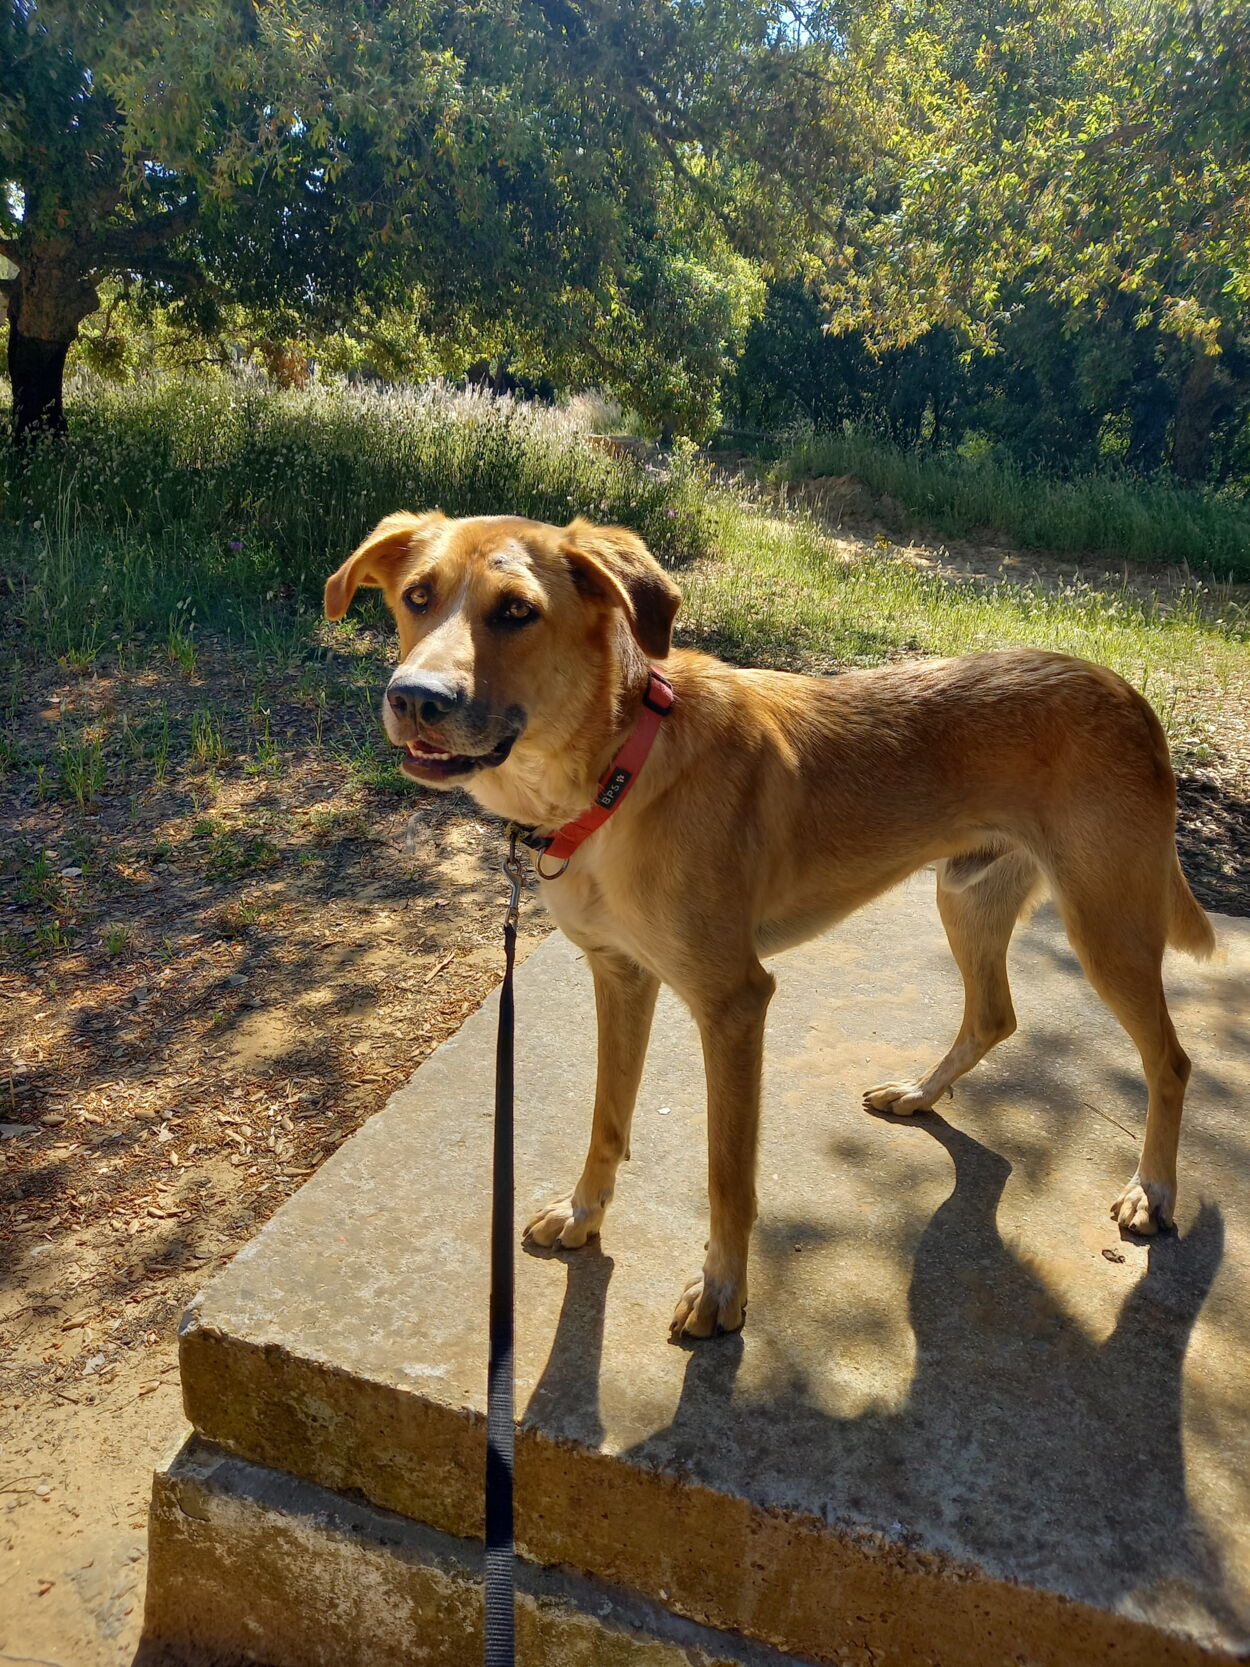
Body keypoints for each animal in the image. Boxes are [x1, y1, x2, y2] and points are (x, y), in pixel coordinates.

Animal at [325, 511, 1215, 1339]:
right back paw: (921, 1094)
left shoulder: (734, 1002)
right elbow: (606, 1118)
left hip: (1106, 927)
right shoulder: (620, 976)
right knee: (993, 1014)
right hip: (965, 897)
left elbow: (728, 1174)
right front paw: (585, 1216)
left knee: (1171, 1059)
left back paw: (1153, 1190)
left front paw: (723, 1293)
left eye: (516, 610)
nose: (415, 699)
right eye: (418, 597)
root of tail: (1127, 694)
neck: (619, 770)